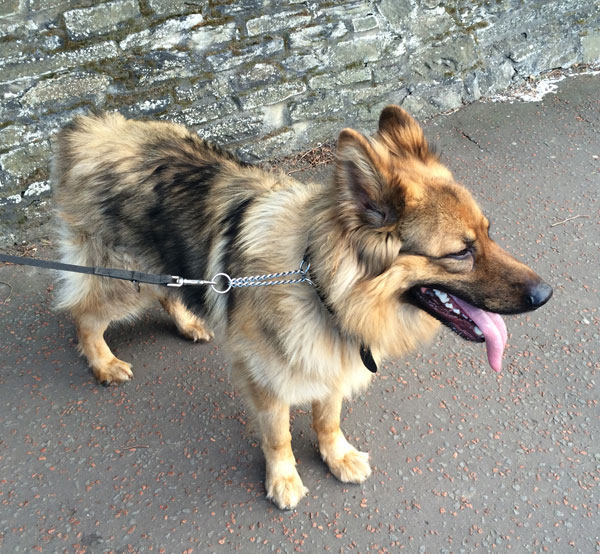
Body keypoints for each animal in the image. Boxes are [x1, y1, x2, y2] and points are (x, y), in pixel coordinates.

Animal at [51, 105, 552, 506]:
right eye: (461, 252)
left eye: (488, 233)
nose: (545, 295)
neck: (319, 284)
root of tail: (89, 129)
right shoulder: (269, 382)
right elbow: (279, 438)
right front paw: (283, 481)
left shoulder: (329, 363)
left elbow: (327, 419)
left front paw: (337, 456)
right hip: (123, 283)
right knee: (84, 315)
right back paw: (103, 362)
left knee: (167, 290)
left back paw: (188, 321)